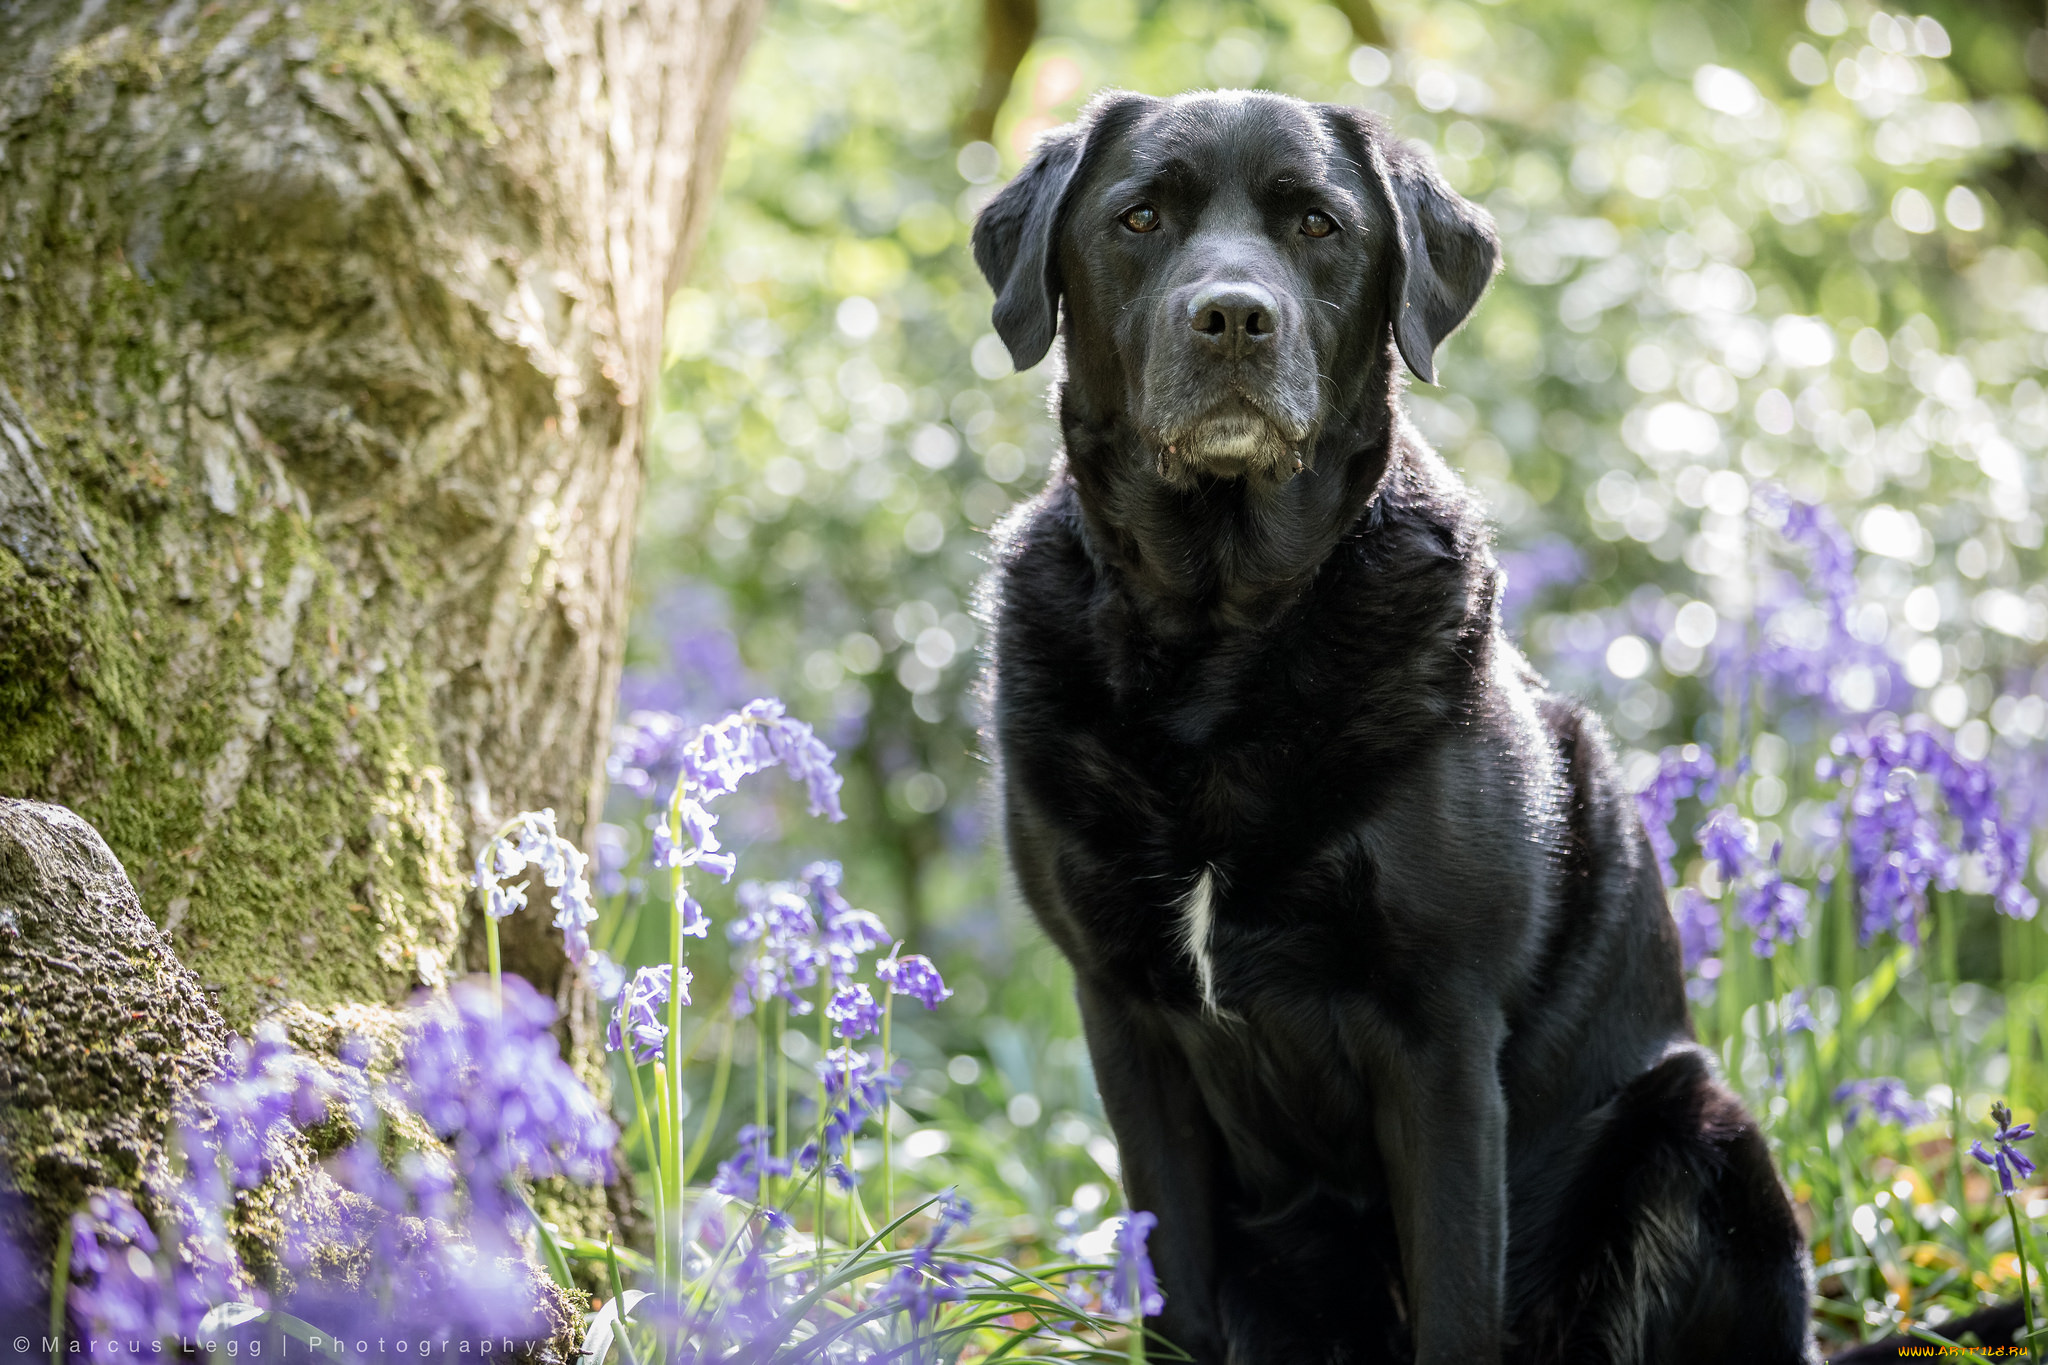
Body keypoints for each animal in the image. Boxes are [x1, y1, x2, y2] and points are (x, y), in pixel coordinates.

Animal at [970, 90, 1810, 1358]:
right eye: (1139, 217)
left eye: (1317, 223)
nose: (1232, 318)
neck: (1221, 636)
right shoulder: (1125, 1020)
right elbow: (1172, 1294)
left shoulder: (1438, 1038)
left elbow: (1456, 1304)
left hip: (1690, 1128)